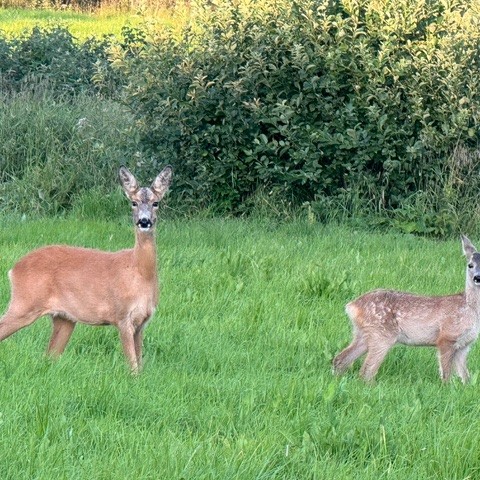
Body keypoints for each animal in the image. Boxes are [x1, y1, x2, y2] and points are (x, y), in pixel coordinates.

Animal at [0, 167, 172, 374]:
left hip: (64, 318)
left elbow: (140, 365)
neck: (139, 272)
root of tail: (14, 269)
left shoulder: (142, 322)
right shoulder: (122, 316)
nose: (144, 221)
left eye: (156, 203)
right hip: (24, 303)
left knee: (49, 356)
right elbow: (132, 367)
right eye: (134, 202)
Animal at [332, 236, 480, 382]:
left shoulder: (465, 344)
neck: (470, 308)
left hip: (363, 332)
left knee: (341, 359)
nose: (477, 277)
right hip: (381, 333)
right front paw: (446, 386)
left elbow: (466, 376)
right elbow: (446, 375)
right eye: (470, 265)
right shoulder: (447, 337)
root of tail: (351, 306)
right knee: (366, 372)